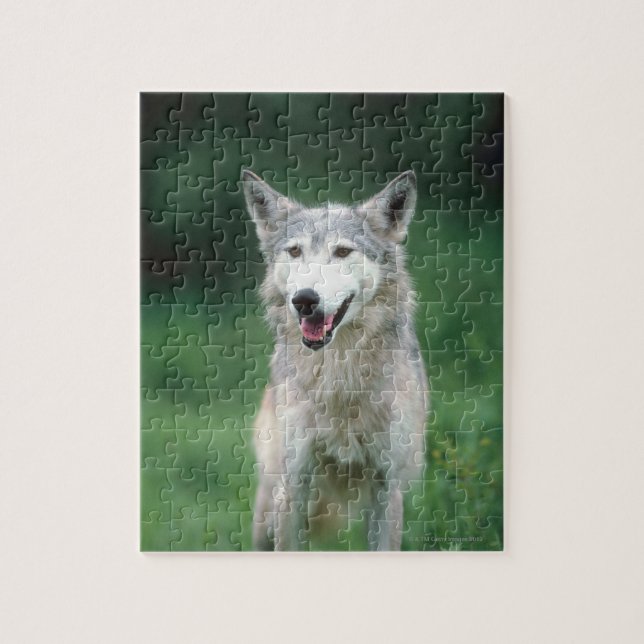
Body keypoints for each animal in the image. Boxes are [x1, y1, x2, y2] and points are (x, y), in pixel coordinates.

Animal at [241, 169, 428, 551]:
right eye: (295, 251)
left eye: (342, 251)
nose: (304, 299)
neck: (338, 374)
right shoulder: (293, 487)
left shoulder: (386, 489)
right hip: (267, 509)